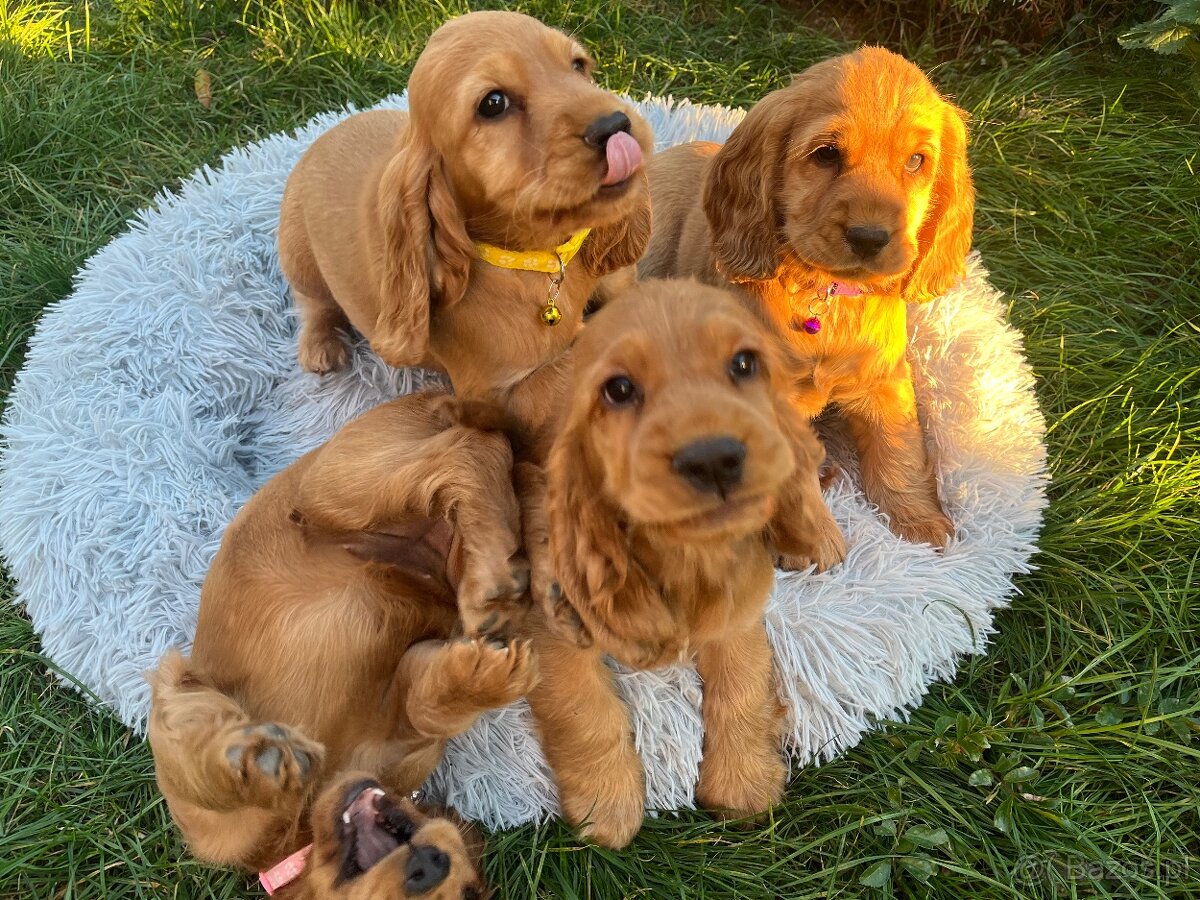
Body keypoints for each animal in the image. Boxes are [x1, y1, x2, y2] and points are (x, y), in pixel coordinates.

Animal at [147, 393, 532, 897]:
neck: (303, 824)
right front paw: (253, 761)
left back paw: (493, 577)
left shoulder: (402, 714)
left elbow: (425, 707)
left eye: (468, 891)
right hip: (341, 485)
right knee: (464, 451)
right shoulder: (190, 767)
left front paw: (477, 679)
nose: (429, 865)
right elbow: (198, 762)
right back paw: (493, 582)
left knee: (476, 452)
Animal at [520, 282, 840, 854]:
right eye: (619, 389)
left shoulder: (738, 611)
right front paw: (606, 806)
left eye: (743, 364)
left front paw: (742, 782)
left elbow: (740, 687)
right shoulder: (552, 633)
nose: (714, 459)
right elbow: (586, 711)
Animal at [638, 49, 974, 549]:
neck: (826, 295)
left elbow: (901, 448)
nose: (869, 237)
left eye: (916, 161)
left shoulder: (884, 379)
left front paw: (922, 525)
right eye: (826, 154)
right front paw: (823, 547)